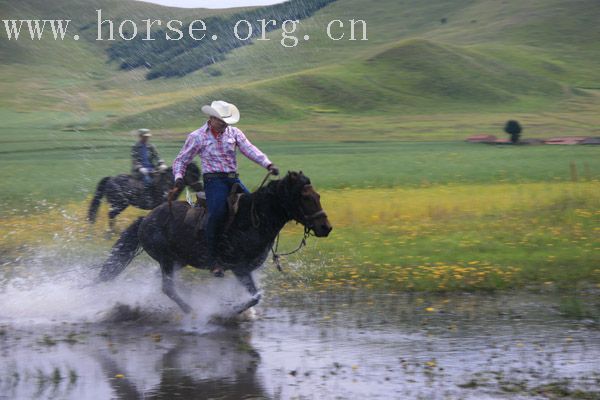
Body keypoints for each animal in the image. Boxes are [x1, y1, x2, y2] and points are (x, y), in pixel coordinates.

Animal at [98, 170, 332, 314]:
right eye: (306, 198)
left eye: (318, 196)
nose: (326, 227)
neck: (252, 220)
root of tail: (145, 219)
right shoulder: (239, 268)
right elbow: (256, 296)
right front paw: (231, 311)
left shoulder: (245, 270)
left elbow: (252, 294)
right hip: (166, 260)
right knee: (168, 288)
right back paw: (191, 312)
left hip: (178, 261)